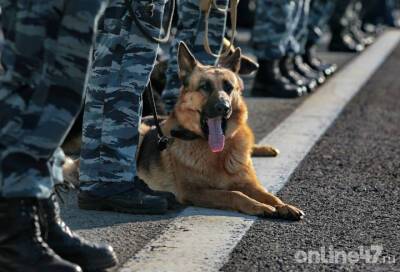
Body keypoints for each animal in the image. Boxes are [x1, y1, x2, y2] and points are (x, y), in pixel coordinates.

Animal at [65, 42, 304, 221]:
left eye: (229, 87)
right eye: (205, 87)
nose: (224, 107)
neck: (217, 155)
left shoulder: (249, 183)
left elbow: (269, 195)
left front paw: (283, 205)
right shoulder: (195, 191)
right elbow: (234, 194)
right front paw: (259, 207)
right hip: (137, 134)